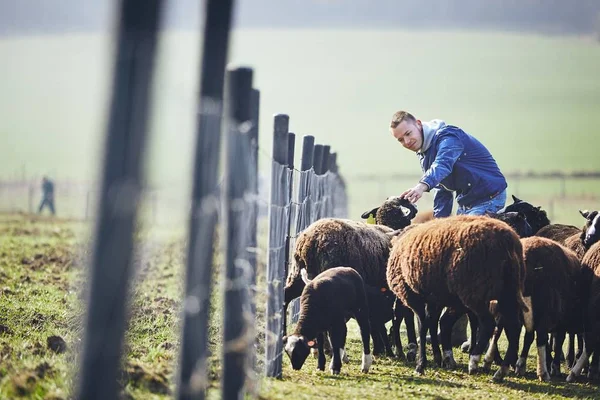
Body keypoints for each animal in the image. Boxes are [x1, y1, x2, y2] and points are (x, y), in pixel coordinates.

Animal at [386, 214, 532, 382]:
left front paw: (421, 364)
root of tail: (507, 240)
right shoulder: (434, 297)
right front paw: (438, 358)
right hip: (507, 293)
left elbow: (423, 326)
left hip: (474, 291)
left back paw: (474, 361)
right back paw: (500, 371)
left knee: (488, 323)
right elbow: (432, 323)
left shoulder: (413, 295)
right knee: (514, 326)